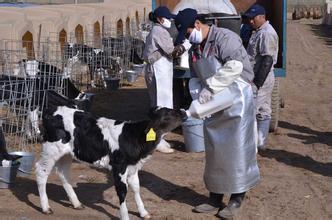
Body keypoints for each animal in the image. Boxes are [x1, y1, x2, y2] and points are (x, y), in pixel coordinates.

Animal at [36, 105, 187, 219]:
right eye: (169, 113)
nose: (183, 111)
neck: (133, 136)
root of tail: (50, 110)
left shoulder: (133, 167)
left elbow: (136, 188)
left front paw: (143, 212)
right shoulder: (119, 166)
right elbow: (122, 191)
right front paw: (125, 217)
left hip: (67, 153)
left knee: (63, 173)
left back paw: (76, 203)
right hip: (50, 150)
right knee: (41, 172)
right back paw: (46, 207)